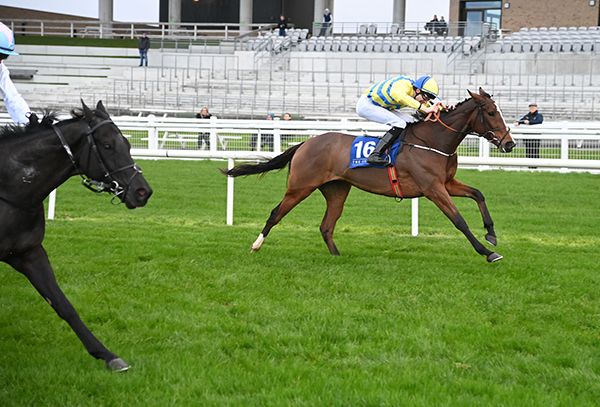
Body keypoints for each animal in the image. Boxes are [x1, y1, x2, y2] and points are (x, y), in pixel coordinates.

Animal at [0, 101, 153, 372]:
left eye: (127, 143)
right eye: (107, 145)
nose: (143, 191)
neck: (10, 187)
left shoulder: (29, 253)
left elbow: (63, 305)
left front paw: (108, 355)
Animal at [224, 88, 515, 262]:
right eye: (491, 112)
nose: (510, 144)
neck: (433, 141)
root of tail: (306, 143)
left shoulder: (447, 182)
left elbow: (478, 194)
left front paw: (491, 234)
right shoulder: (433, 188)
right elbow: (459, 221)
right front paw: (488, 252)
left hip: (337, 190)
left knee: (326, 226)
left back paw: (337, 257)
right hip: (300, 187)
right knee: (276, 213)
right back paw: (256, 245)